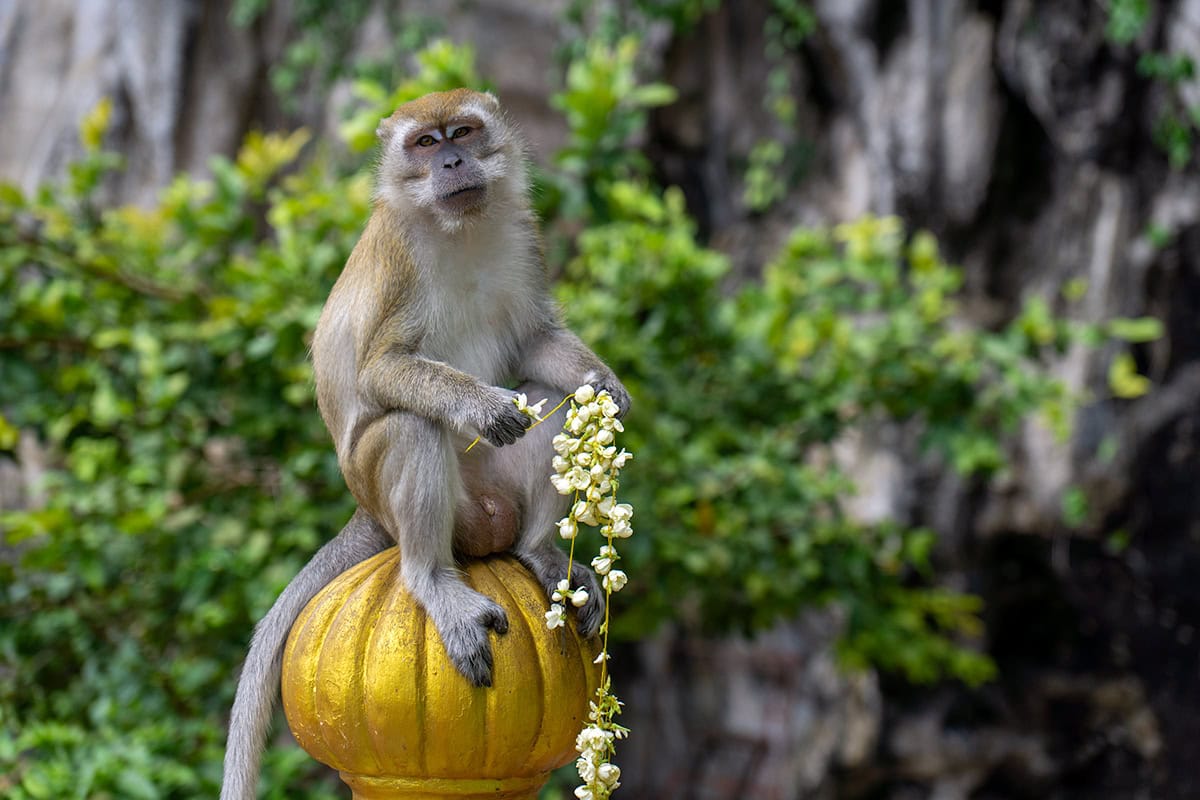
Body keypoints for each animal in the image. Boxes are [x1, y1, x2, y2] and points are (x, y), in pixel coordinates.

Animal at [220, 89, 630, 800]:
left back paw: (538, 550)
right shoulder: (396, 260)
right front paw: (482, 405)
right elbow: (380, 370)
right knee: (412, 426)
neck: (457, 230)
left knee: (546, 402)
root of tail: (366, 512)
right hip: (405, 497)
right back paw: (433, 581)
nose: (454, 162)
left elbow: (535, 344)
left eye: (463, 132)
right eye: (424, 144)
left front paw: (603, 383)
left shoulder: (522, 236)